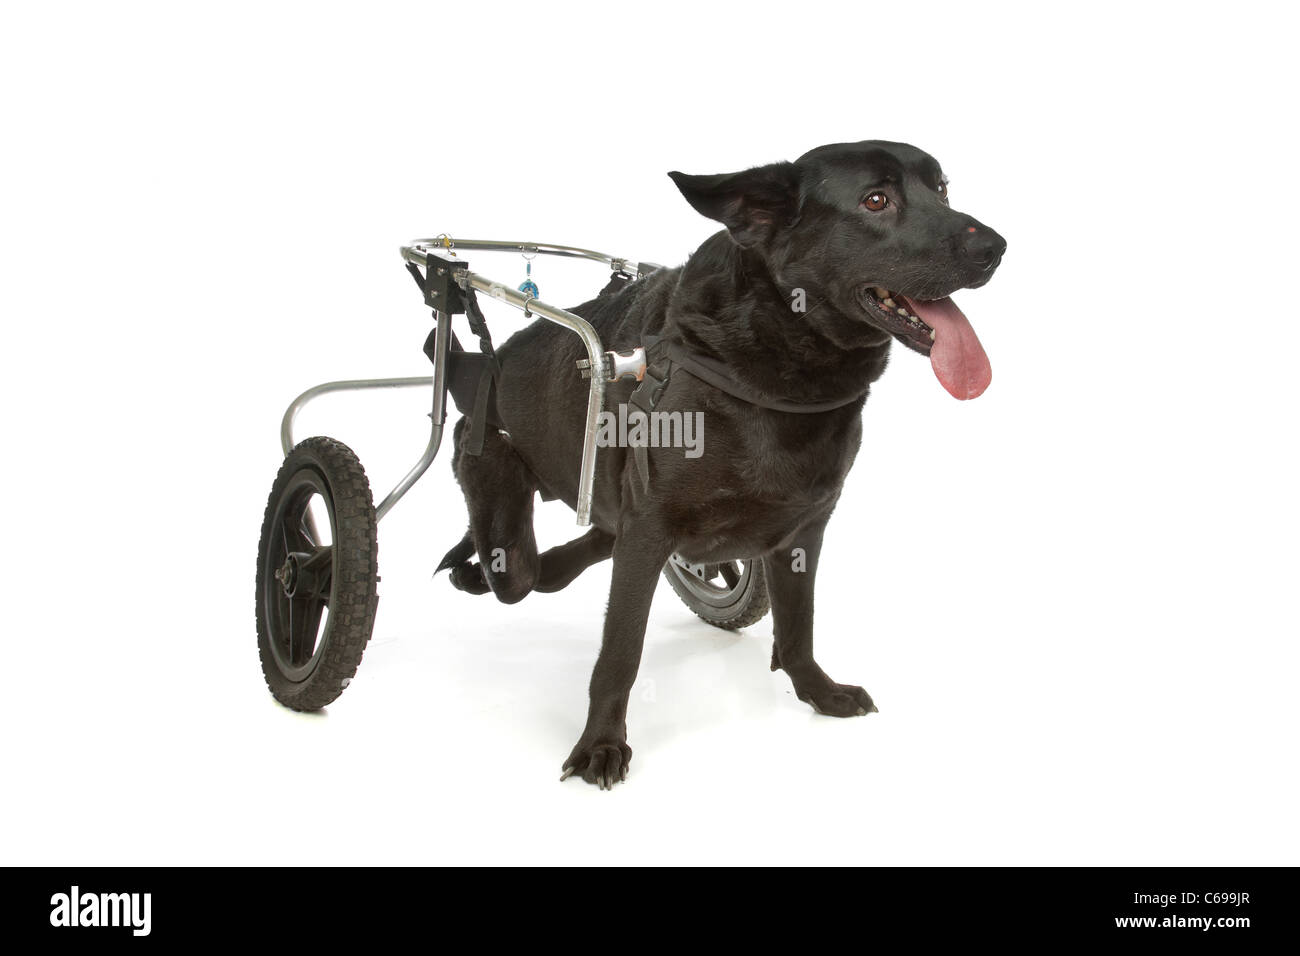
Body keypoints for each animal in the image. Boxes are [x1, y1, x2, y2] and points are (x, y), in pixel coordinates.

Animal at [439, 140, 1003, 785]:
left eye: (943, 189)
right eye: (876, 200)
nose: (996, 247)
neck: (775, 374)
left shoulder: (804, 529)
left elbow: (799, 624)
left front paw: (817, 691)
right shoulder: (650, 528)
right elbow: (619, 651)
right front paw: (600, 742)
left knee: (583, 547)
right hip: (500, 470)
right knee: (512, 554)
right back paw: (482, 532)